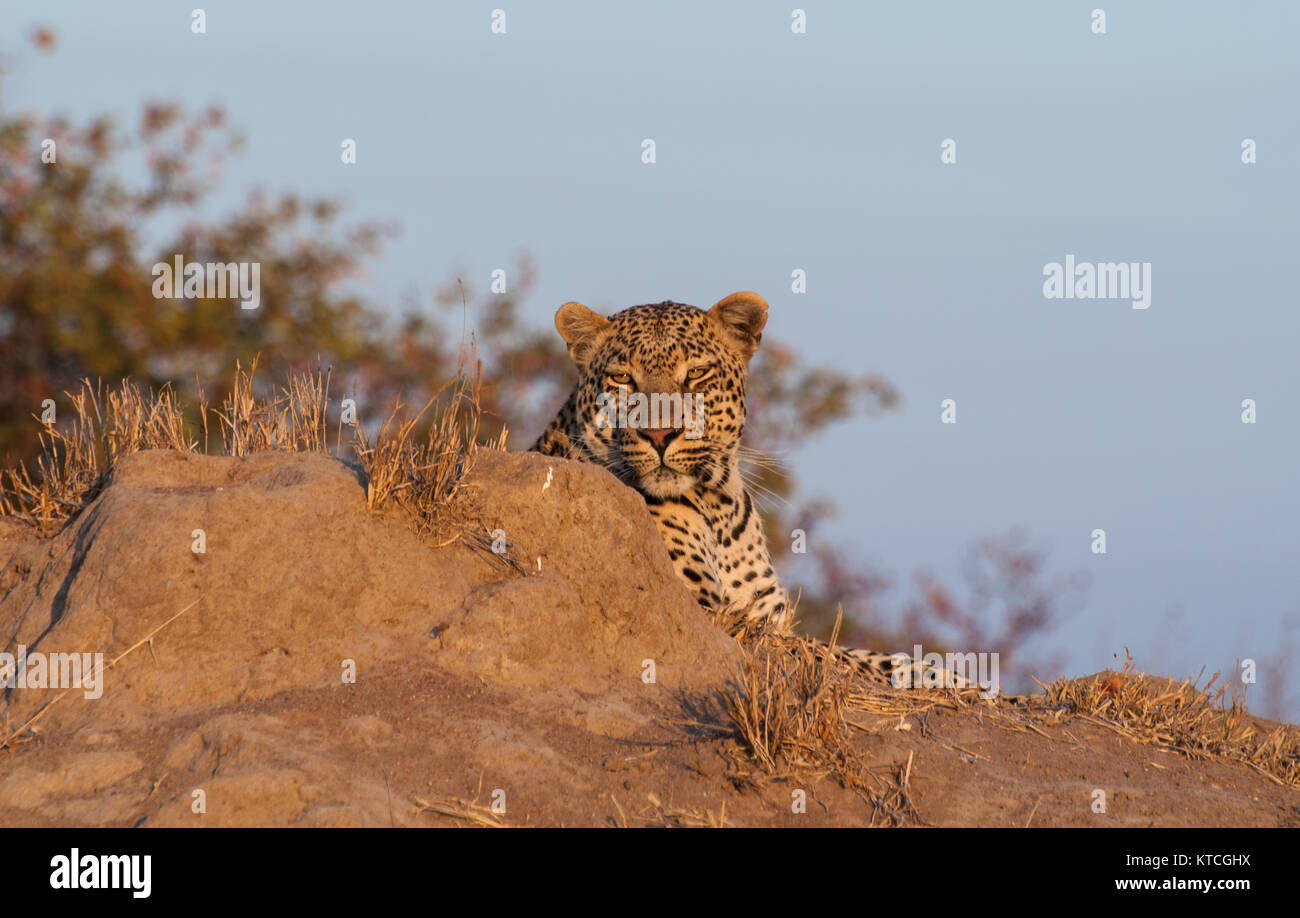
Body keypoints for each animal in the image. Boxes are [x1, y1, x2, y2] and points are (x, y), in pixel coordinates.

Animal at [533, 291, 998, 691]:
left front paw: (967, 681)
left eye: (696, 374)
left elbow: (871, 655)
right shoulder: (716, 617)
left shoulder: (767, 616)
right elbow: (837, 656)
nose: (661, 434)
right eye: (622, 378)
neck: (716, 508)